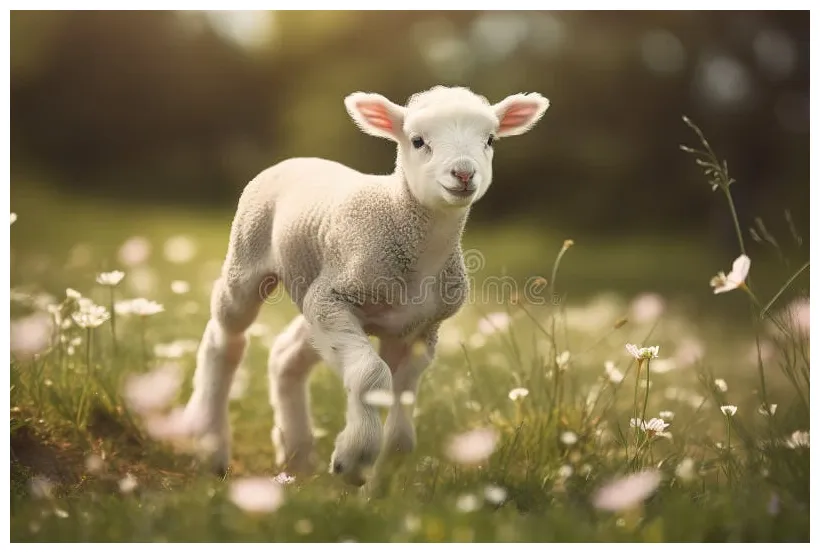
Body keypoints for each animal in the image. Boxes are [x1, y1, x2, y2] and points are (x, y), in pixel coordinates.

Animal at [180, 85, 550, 489]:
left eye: (490, 139)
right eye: (417, 141)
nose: (464, 173)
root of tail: (297, 160)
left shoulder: (419, 329)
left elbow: (401, 421)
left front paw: (379, 486)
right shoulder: (334, 297)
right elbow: (372, 375)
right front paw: (354, 459)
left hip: (313, 288)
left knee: (285, 353)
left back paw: (297, 454)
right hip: (249, 254)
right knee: (225, 338)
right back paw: (210, 444)